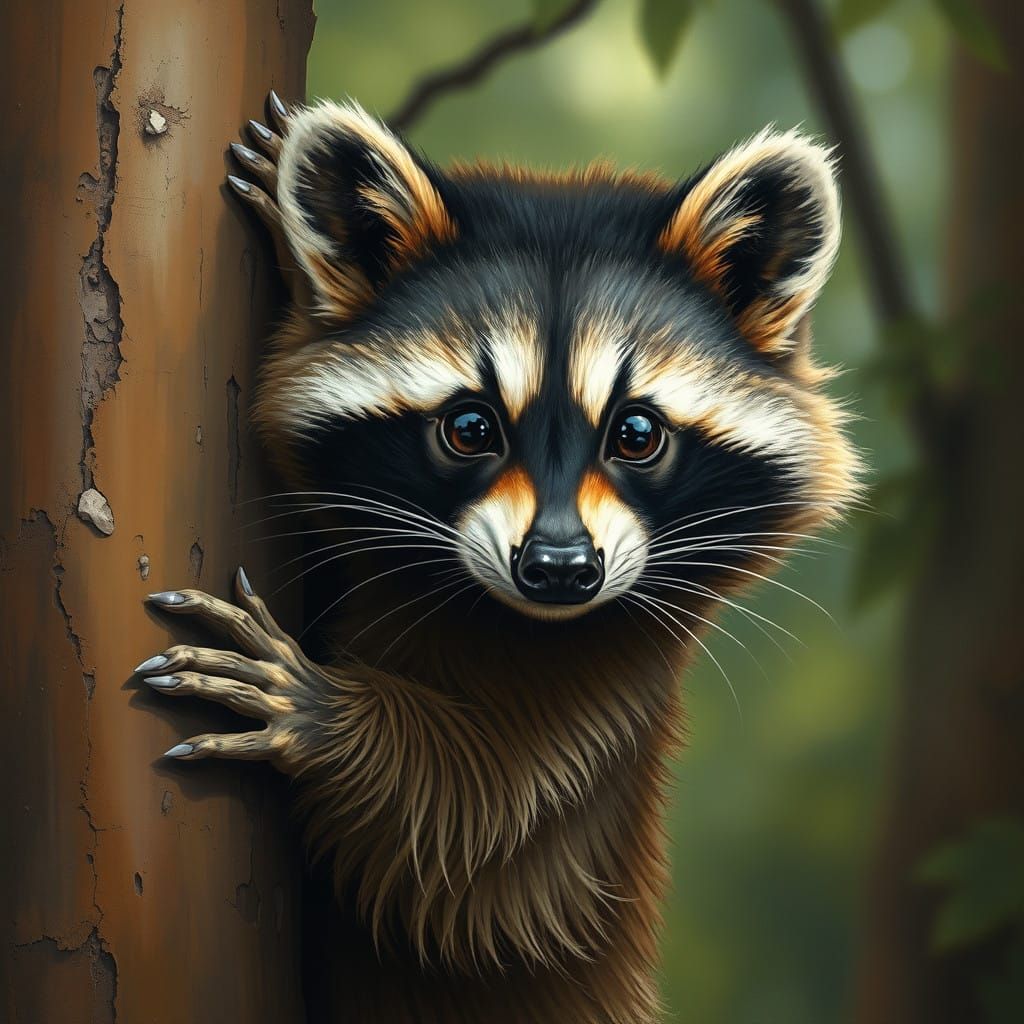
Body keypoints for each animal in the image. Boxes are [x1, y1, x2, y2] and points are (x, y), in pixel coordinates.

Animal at [136, 92, 859, 1023]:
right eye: (471, 426)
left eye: (636, 433)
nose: (558, 569)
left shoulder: (606, 701)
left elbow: (472, 832)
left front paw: (324, 715)